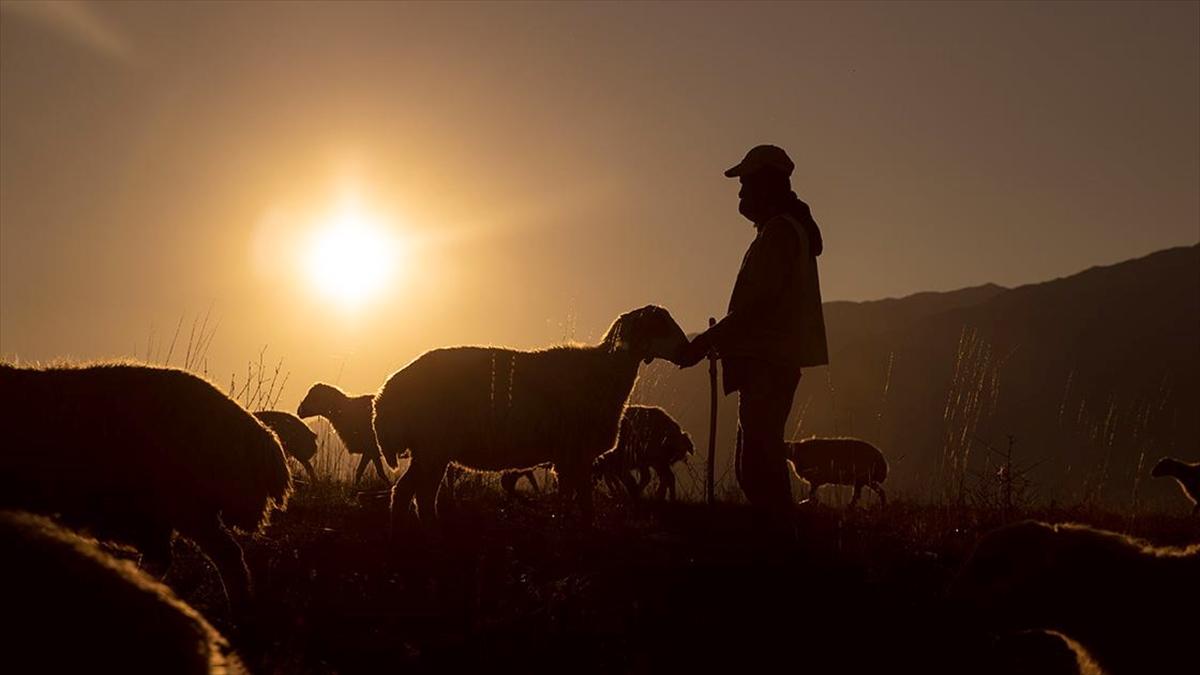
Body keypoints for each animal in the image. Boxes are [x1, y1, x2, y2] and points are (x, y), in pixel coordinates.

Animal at [374, 302, 696, 523]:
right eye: (660, 326)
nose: (688, 352)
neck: (604, 373)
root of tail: (385, 396)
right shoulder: (573, 453)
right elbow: (576, 504)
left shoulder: (575, 458)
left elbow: (579, 502)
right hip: (432, 446)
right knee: (416, 494)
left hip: (429, 450)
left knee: (409, 494)